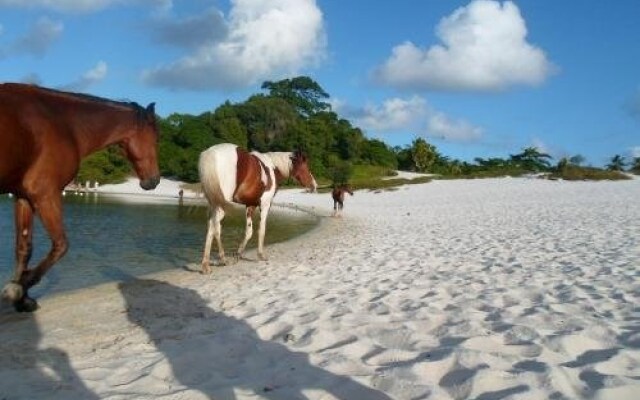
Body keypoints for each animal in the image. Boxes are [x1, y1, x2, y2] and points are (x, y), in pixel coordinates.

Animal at [0, 83, 160, 310]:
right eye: (156, 139)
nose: (154, 180)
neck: (62, 123)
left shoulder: (23, 197)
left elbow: (24, 248)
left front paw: (22, 298)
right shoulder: (45, 194)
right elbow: (60, 245)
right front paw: (18, 288)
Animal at [195, 143, 316, 272]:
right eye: (305, 166)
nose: (314, 185)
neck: (273, 169)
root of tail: (211, 154)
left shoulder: (250, 206)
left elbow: (249, 232)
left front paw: (238, 254)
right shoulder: (265, 204)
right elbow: (261, 229)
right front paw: (261, 255)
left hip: (214, 203)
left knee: (211, 227)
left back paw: (207, 263)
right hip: (221, 205)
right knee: (216, 228)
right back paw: (220, 260)